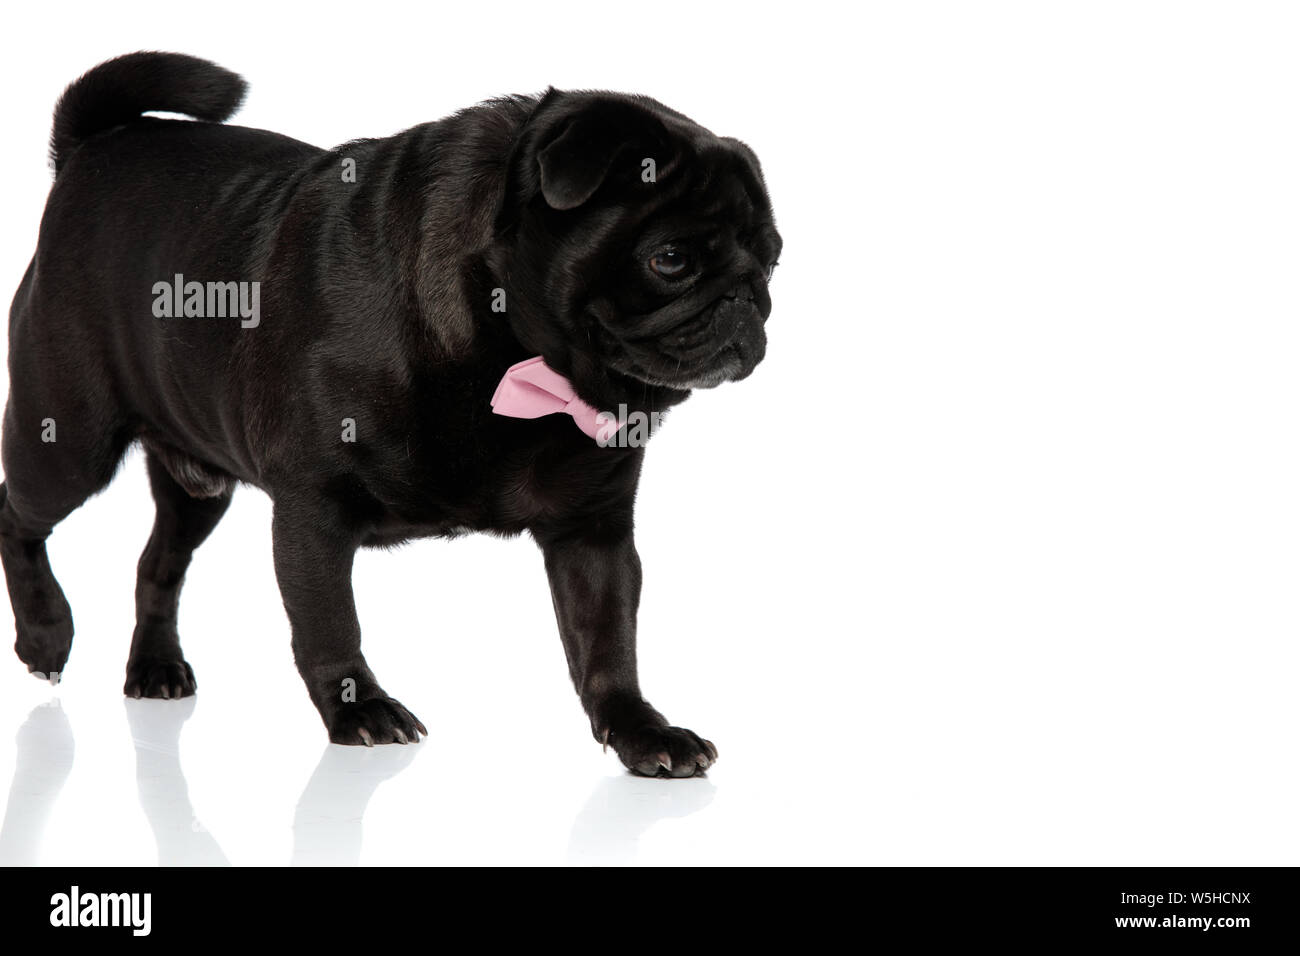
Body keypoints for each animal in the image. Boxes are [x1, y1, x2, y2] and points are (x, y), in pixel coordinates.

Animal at [0, 52, 774, 780]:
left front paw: (642, 730)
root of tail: (89, 151)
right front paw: (360, 709)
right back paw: (45, 634)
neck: (506, 345)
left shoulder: (593, 533)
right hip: (68, 442)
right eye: (669, 259)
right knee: (18, 515)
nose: (748, 299)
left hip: (197, 484)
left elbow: (608, 643)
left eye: (772, 259)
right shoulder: (314, 511)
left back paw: (154, 667)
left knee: (158, 563)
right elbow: (328, 624)